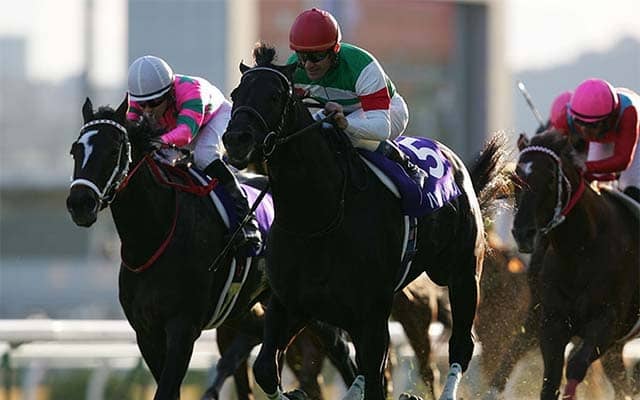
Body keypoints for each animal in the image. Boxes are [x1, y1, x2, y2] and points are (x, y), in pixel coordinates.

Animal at [66, 97, 357, 400]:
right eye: (75, 150)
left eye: (113, 150)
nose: (80, 203)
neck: (153, 237)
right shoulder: (146, 332)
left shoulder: (182, 328)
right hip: (245, 310)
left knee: (340, 349)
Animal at [221, 43, 510, 400]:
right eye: (236, 94)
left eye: (274, 96)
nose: (236, 139)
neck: (317, 220)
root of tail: (456, 163)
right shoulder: (290, 303)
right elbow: (264, 369)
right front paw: (296, 392)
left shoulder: (371, 314)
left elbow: (374, 375)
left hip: (462, 274)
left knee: (460, 344)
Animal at [511, 130, 640, 400]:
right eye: (515, 177)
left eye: (550, 178)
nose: (523, 233)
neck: (580, 250)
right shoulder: (553, 321)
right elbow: (550, 381)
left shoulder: (608, 322)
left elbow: (576, 366)